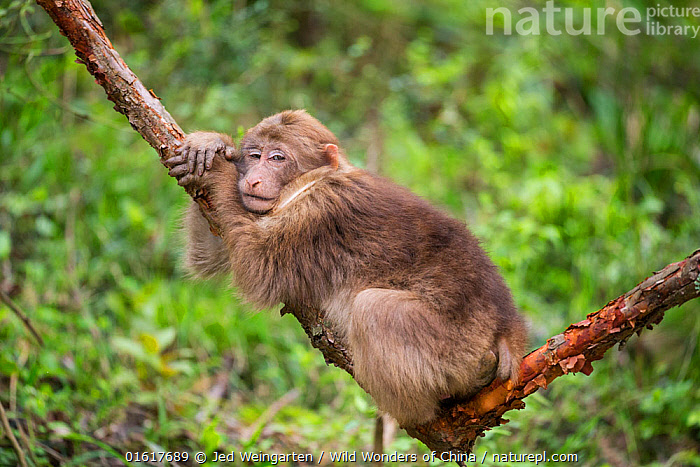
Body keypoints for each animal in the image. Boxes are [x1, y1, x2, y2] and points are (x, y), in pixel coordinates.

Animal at [164, 110, 528, 426]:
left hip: (456, 348)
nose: (252, 179)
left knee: (374, 309)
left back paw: (417, 416)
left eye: (277, 158)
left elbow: (260, 269)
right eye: (254, 155)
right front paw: (213, 144)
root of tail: (509, 331)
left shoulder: (322, 211)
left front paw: (217, 171)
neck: (310, 184)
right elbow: (209, 256)